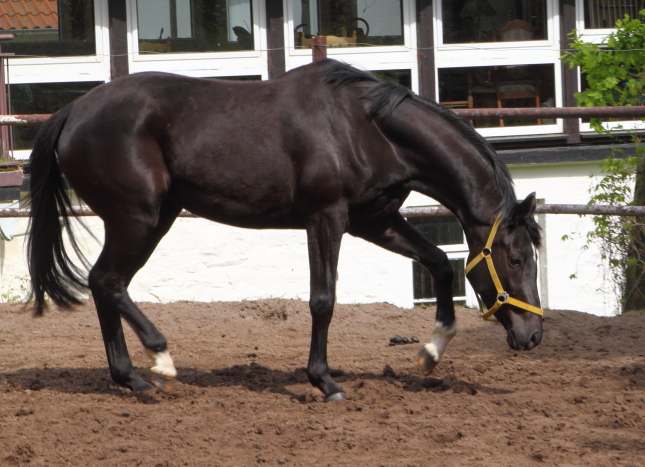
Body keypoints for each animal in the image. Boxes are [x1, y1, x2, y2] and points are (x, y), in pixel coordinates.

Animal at [28, 58, 544, 402]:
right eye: (517, 258)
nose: (534, 335)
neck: (365, 129)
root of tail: (74, 111)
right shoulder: (326, 218)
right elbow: (323, 300)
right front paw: (325, 381)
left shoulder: (374, 221)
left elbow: (439, 262)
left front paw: (432, 351)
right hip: (136, 217)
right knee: (108, 282)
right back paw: (160, 362)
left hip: (155, 218)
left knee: (105, 284)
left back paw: (132, 378)